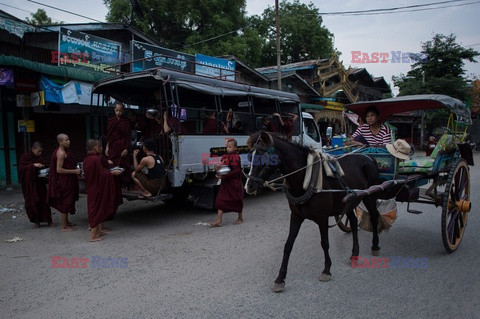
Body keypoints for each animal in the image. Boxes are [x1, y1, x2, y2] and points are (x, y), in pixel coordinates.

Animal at [246, 131, 384, 294]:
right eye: (250, 156)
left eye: (265, 157)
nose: (248, 186)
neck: (306, 179)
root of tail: (368, 157)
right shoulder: (296, 216)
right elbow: (288, 245)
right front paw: (280, 278)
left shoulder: (322, 217)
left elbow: (324, 243)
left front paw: (326, 270)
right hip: (349, 201)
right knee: (354, 222)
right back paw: (354, 254)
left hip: (369, 196)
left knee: (374, 217)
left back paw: (375, 246)